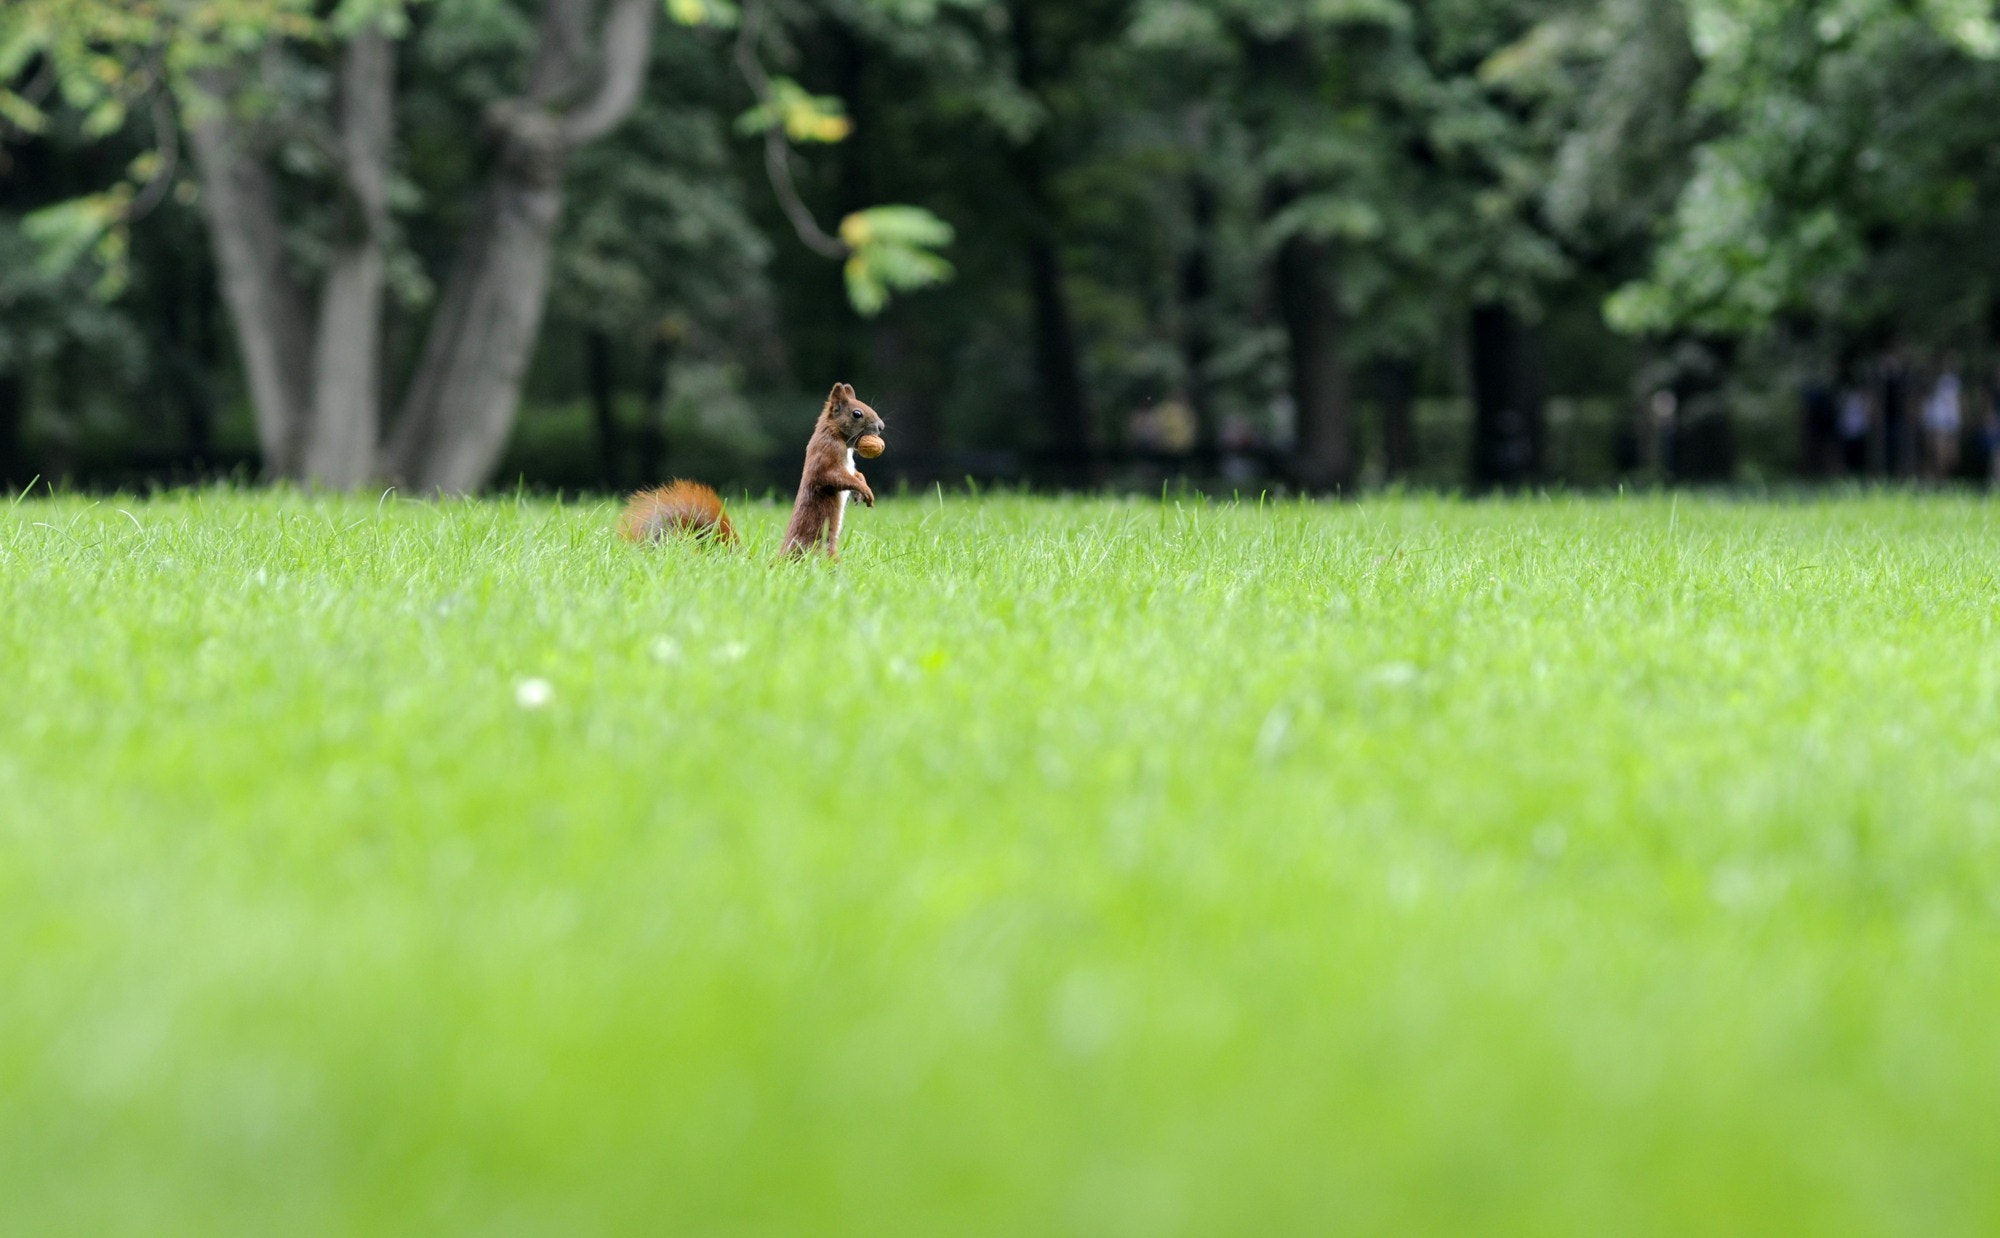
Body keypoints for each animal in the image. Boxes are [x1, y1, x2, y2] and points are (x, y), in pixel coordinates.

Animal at [616, 380, 884, 560]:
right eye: (857, 413)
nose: (881, 426)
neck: (837, 436)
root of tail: (780, 563)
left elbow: (854, 475)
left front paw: (861, 489)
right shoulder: (825, 456)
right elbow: (832, 477)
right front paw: (863, 489)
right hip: (822, 549)